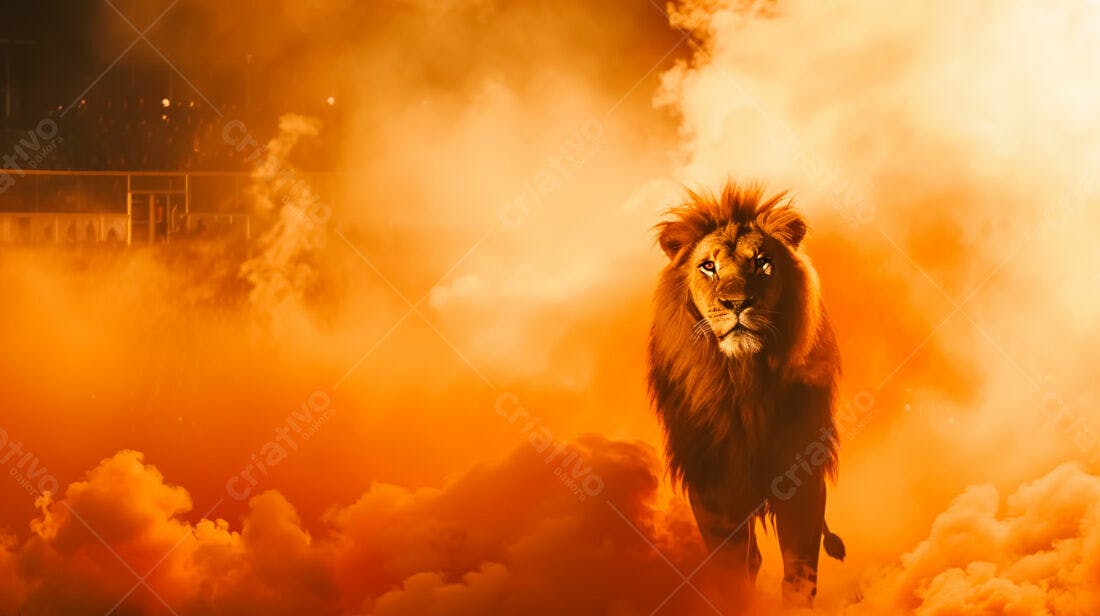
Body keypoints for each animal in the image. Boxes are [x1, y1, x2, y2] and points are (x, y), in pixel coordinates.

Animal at [647, 182, 845, 608]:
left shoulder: (801, 474)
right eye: (708, 266)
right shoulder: (712, 483)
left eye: (762, 262)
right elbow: (732, 569)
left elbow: (800, 574)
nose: (737, 303)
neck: (743, 380)